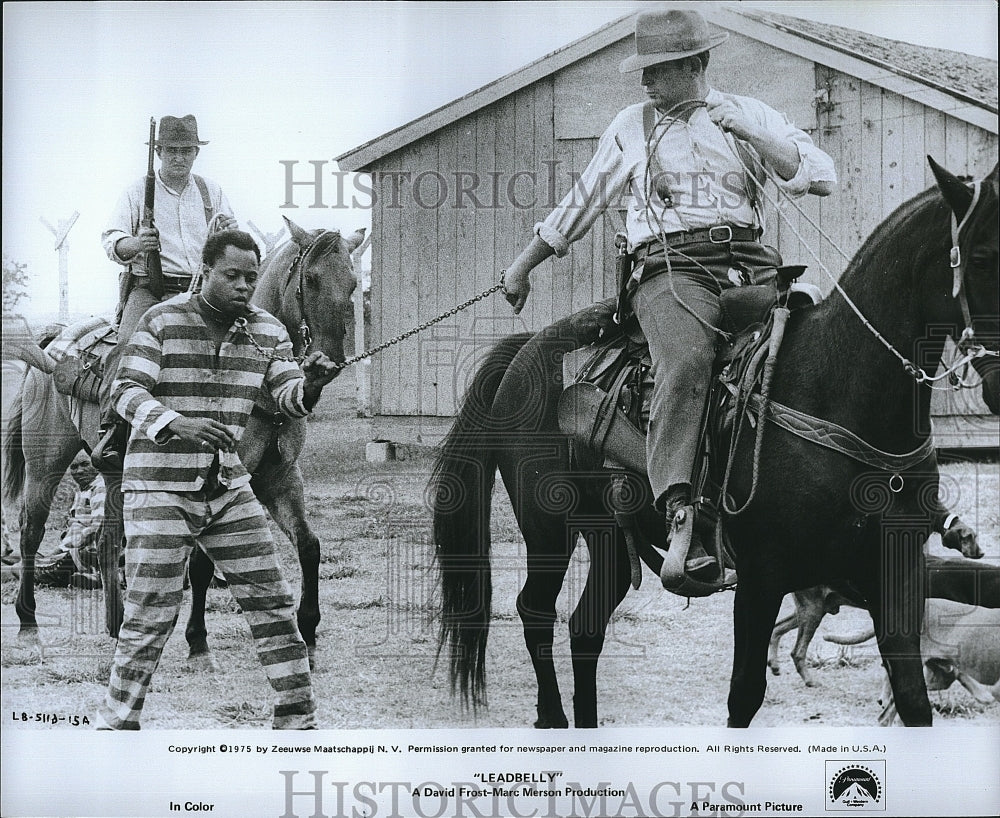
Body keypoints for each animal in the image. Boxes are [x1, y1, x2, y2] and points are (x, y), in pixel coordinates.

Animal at [432, 159, 1000, 728]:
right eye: (980, 257)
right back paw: (551, 716)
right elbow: (744, 695)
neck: (837, 392)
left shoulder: (895, 574)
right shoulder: (761, 575)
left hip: (608, 536)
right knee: (535, 610)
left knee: (584, 630)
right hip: (547, 526)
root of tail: (526, 349)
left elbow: (912, 697)